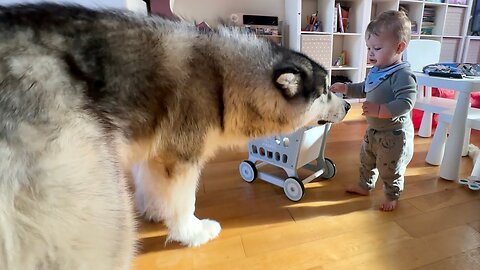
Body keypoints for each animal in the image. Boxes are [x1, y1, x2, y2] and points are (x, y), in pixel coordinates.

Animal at [0, 3, 348, 268]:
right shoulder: (181, 157)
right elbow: (183, 201)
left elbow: (153, 185)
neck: (223, 81)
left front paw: (156, 211)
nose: (347, 103)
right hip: (100, 205)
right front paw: (190, 233)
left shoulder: (155, 152)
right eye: (325, 91)